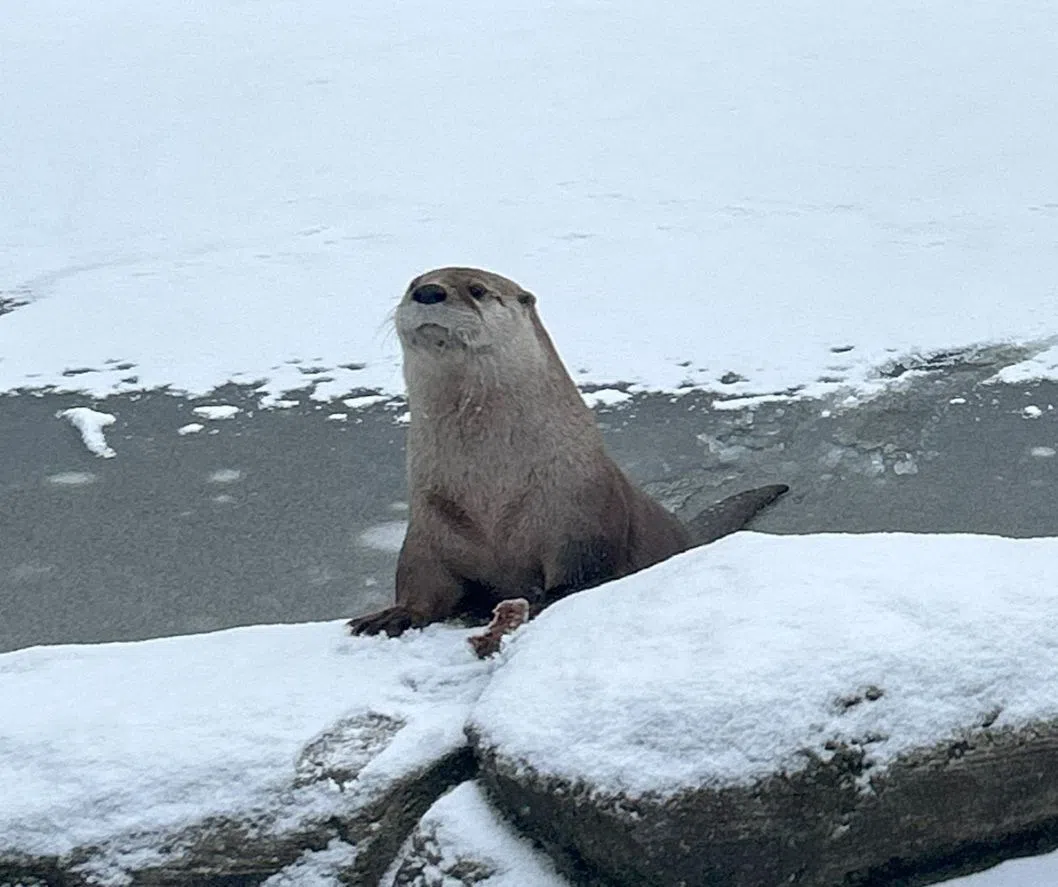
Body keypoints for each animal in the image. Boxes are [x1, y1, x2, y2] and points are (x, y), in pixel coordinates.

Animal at [348, 267, 787, 637]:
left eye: (477, 290)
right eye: (413, 283)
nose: (429, 292)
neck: (492, 491)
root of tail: (688, 535)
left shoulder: (580, 517)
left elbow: (580, 579)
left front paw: (540, 602)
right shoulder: (430, 519)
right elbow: (421, 581)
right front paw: (391, 615)